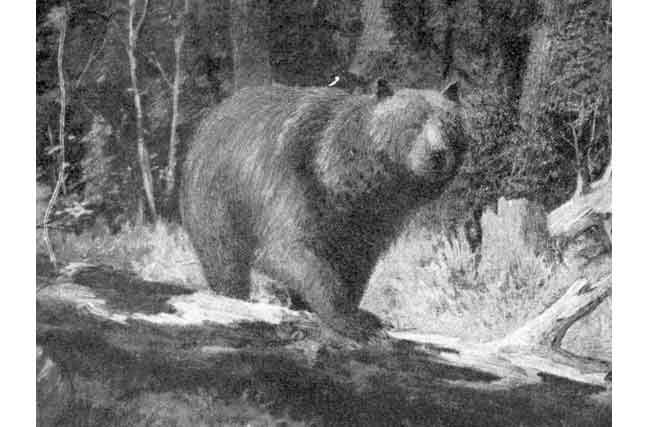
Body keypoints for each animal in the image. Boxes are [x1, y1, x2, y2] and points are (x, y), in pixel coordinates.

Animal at [181, 81, 466, 339]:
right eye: (413, 123)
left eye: (449, 126)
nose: (438, 154)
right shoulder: (293, 184)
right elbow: (288, 250)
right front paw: (353, 320)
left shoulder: (373, 222)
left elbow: (357, 265)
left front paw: (358, 311)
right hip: (217, 200)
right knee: (224, 259)